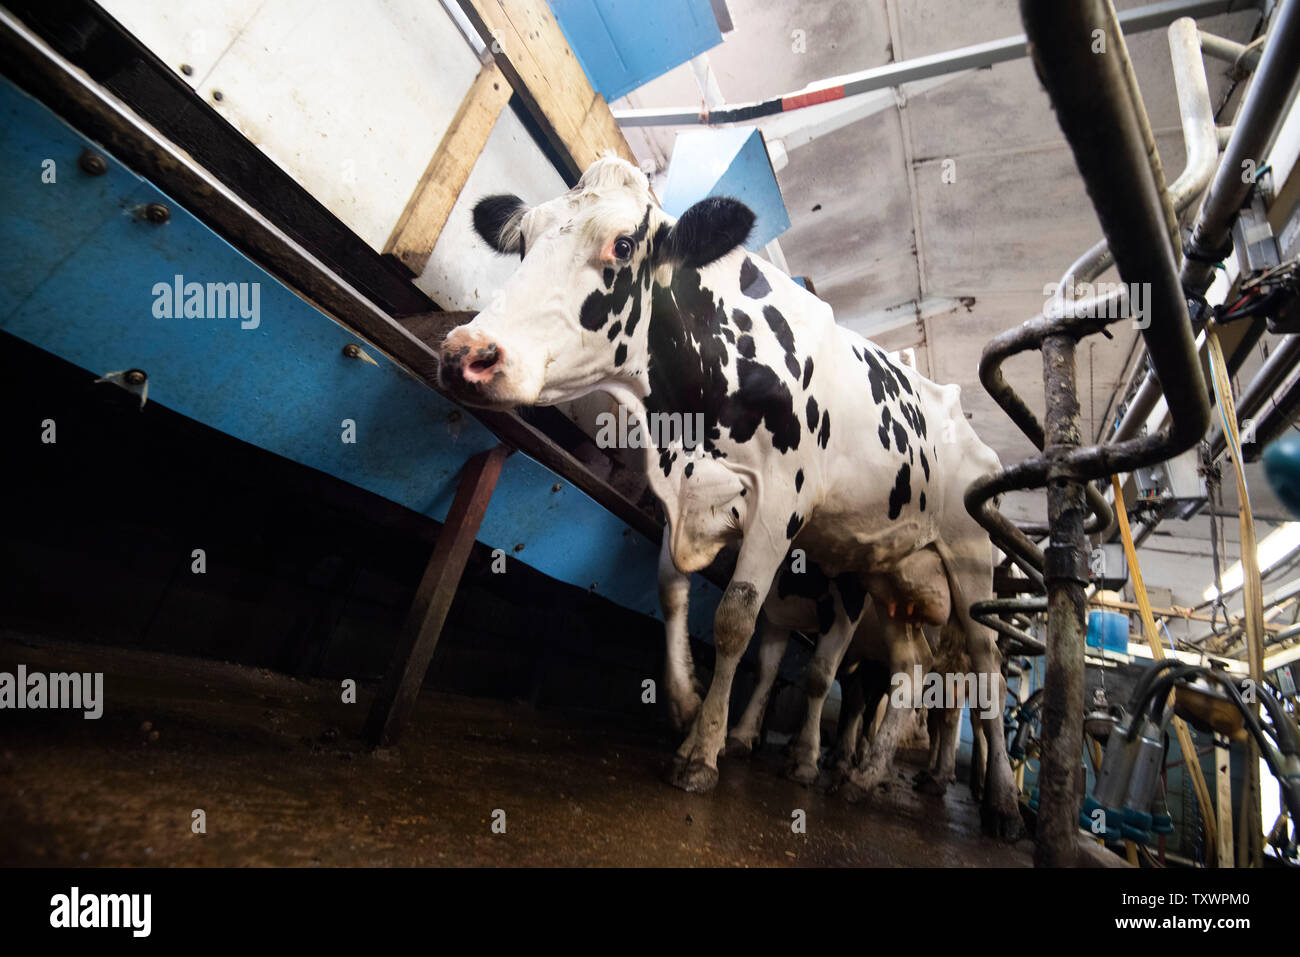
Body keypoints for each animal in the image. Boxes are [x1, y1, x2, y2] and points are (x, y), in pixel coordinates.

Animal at [441, 157, 1019, 837]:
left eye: (623, 245)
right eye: (523, 243)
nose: (466, 354)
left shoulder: (781, 504)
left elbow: (736, 620)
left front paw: (701, 754)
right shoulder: (684, 492)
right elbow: (671, 590)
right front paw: (686, 703)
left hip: (970, 561)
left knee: (985, 670)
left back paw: (1001, 802)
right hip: (886, 568)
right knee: (911, 666)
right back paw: (864, 775)